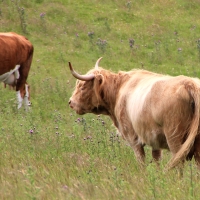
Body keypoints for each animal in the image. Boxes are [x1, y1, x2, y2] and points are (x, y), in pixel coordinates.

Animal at [68, 57, 200, 170]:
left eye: (83, 86)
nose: (71, 102)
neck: (119, 91)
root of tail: (189, 83)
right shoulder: (154, 140)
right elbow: (156, 159)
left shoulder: (133, 138)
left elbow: (141, 162)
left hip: (174, 137)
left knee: (179, 163)